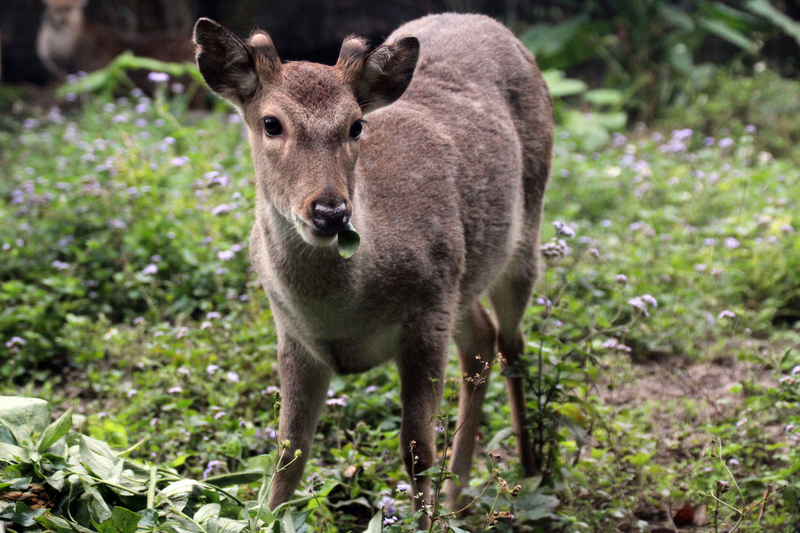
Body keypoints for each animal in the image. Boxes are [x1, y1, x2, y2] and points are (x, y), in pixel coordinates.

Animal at [193, 13, 553, 522]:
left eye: (356, 125)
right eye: (271, 123)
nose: (330, 211)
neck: (341, 314)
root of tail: (486, 22)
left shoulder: (428, 308)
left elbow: (417, 448)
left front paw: (423, 523)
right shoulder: (294, 334)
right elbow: (289, 452)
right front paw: (267, 516)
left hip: (522, 232)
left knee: (512, 345)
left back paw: (528, 471)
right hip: (464, 277)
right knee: (481, 341)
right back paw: (459, 494)